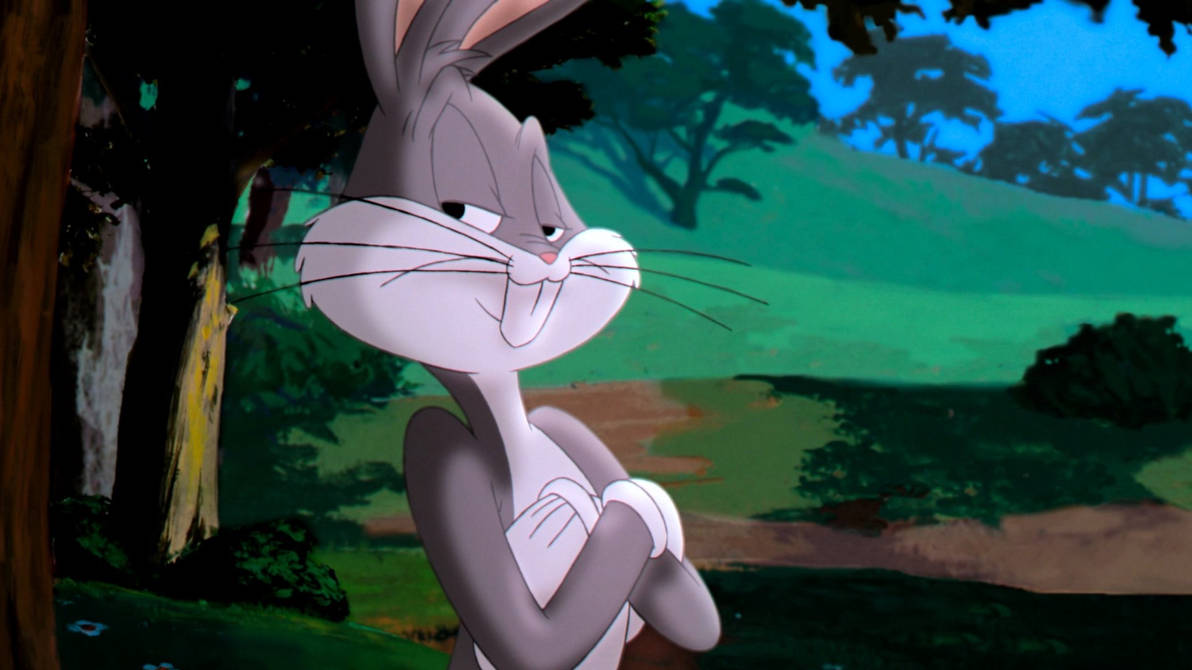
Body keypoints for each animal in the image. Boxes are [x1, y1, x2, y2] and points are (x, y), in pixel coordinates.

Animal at [294, 0, 721, 667]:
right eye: (463, 212)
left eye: (551, 226)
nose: (546, 259)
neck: (511, 425)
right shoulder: (433, 441)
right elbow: (530, 638)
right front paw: (592, 509)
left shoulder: (562, 422)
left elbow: (697, 615)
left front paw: (635, 506)